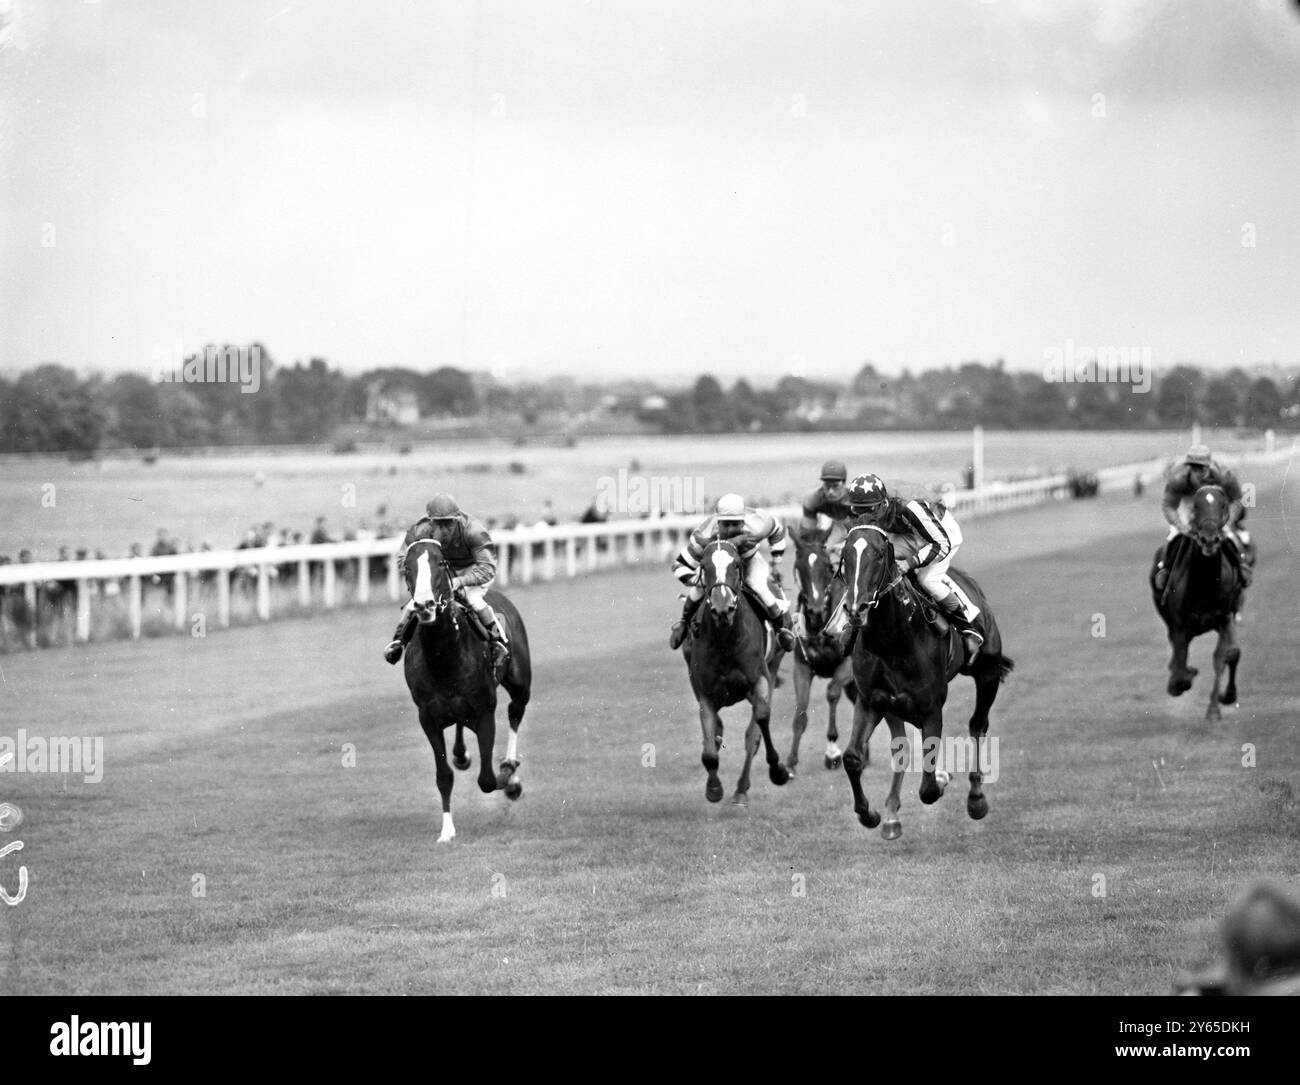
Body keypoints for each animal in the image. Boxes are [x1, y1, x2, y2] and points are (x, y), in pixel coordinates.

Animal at [403, 537, 530, 842]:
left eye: (440, 563)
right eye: (407, 567)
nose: (424, 604)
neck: (444, 656)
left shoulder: (485, 711)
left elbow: (487, 779)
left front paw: (509, 778)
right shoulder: (427, 717)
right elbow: (444, 776)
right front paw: (447, 831)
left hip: (521, 684)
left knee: (516, 711)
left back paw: (510, 768)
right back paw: (462, 755)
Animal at [681, 537, 790, 800]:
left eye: (737, 565)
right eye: (704, 567)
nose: (723, 609)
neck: (726, 641)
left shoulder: (759, 679)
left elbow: (759, 723)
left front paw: (778, 770)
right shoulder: (705, 693)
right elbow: (710, 750)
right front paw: (713, 788)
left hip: (774, 663)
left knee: (753, 734)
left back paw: (741, 790)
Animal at [785, 532, 857, 774]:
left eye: (826, 566)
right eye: (799, 567)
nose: (814, 610)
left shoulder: (847, 667)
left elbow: (832, 693)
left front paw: (832, 752)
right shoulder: (802, 668)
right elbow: (800, 712)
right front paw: (790, 762)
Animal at [832, 524, 1013, 842]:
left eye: (879, 555)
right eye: (846, 556)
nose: (856, 609)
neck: (891, 642)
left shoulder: (931, 708)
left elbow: (928, 789)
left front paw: (942, 779)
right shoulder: (871, 701)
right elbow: (853, 758)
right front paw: (869, 814)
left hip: (987, 673)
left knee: (978, 725)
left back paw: (976, 799)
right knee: (902, 746)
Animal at [1149, 483, 1248, 722]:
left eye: (1223, 505)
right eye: (1195, 506)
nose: (1209, 539)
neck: (1204, 583)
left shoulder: (1224, 617)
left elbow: (1226, 655)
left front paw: (1218, 704)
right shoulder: (1179, 625)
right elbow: (1180, 668)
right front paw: (1182, 678)